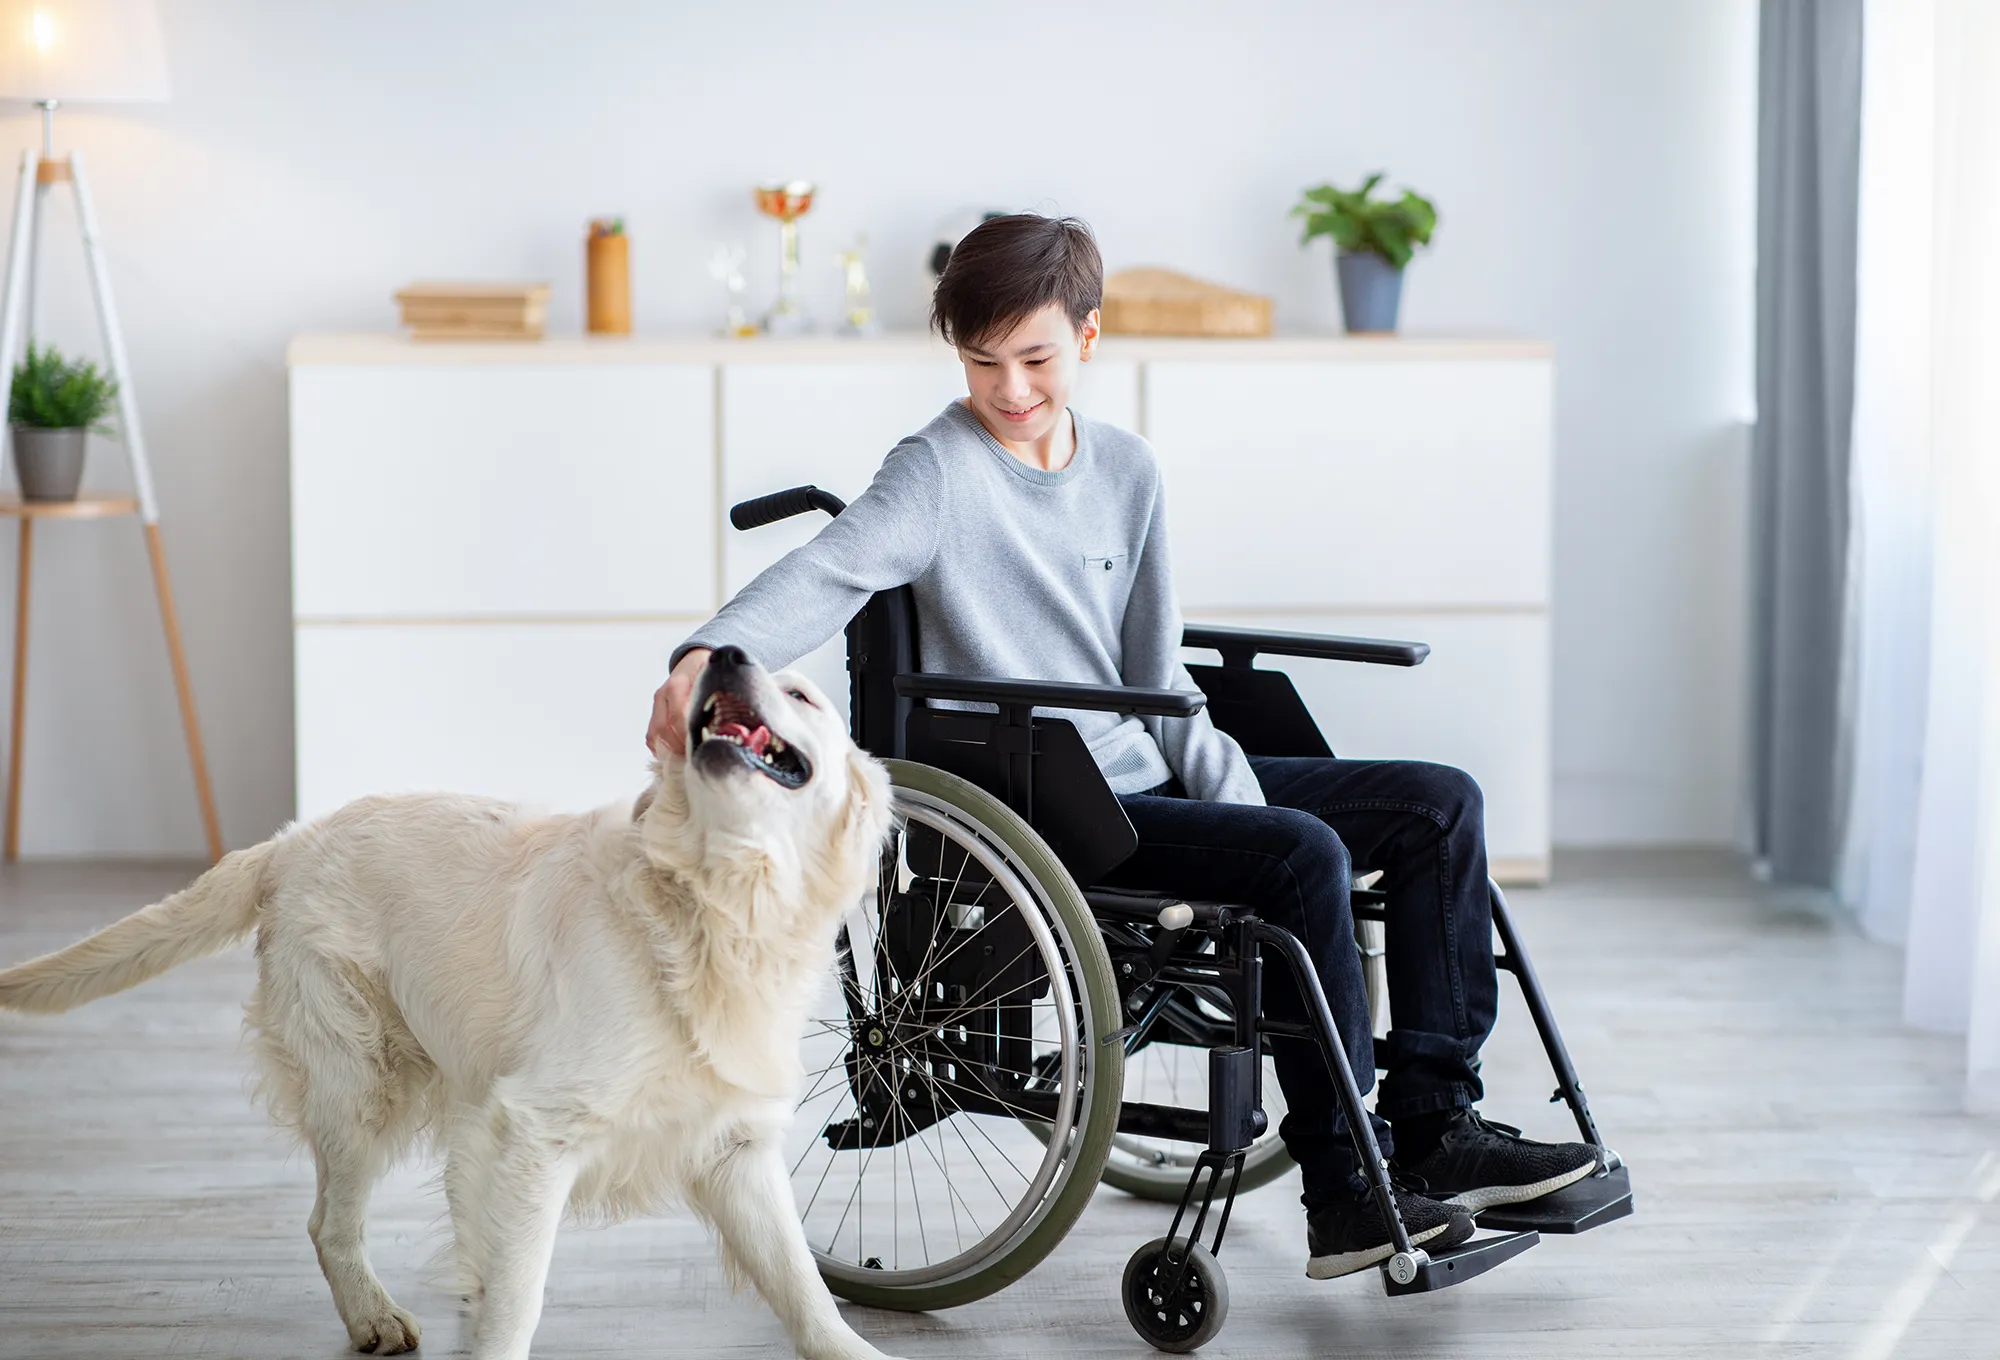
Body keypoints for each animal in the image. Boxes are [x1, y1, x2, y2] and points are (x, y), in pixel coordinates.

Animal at [0, 648, 900, 1360]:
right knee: (330, 1223)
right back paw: (374, 1315)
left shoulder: (734, 1148)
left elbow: (801, 1285)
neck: (716, 907)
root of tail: (292, 841)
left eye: (804, 697)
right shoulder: (538, 1130)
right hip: (362, 1081)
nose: (723, 655)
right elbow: (520, 1297)